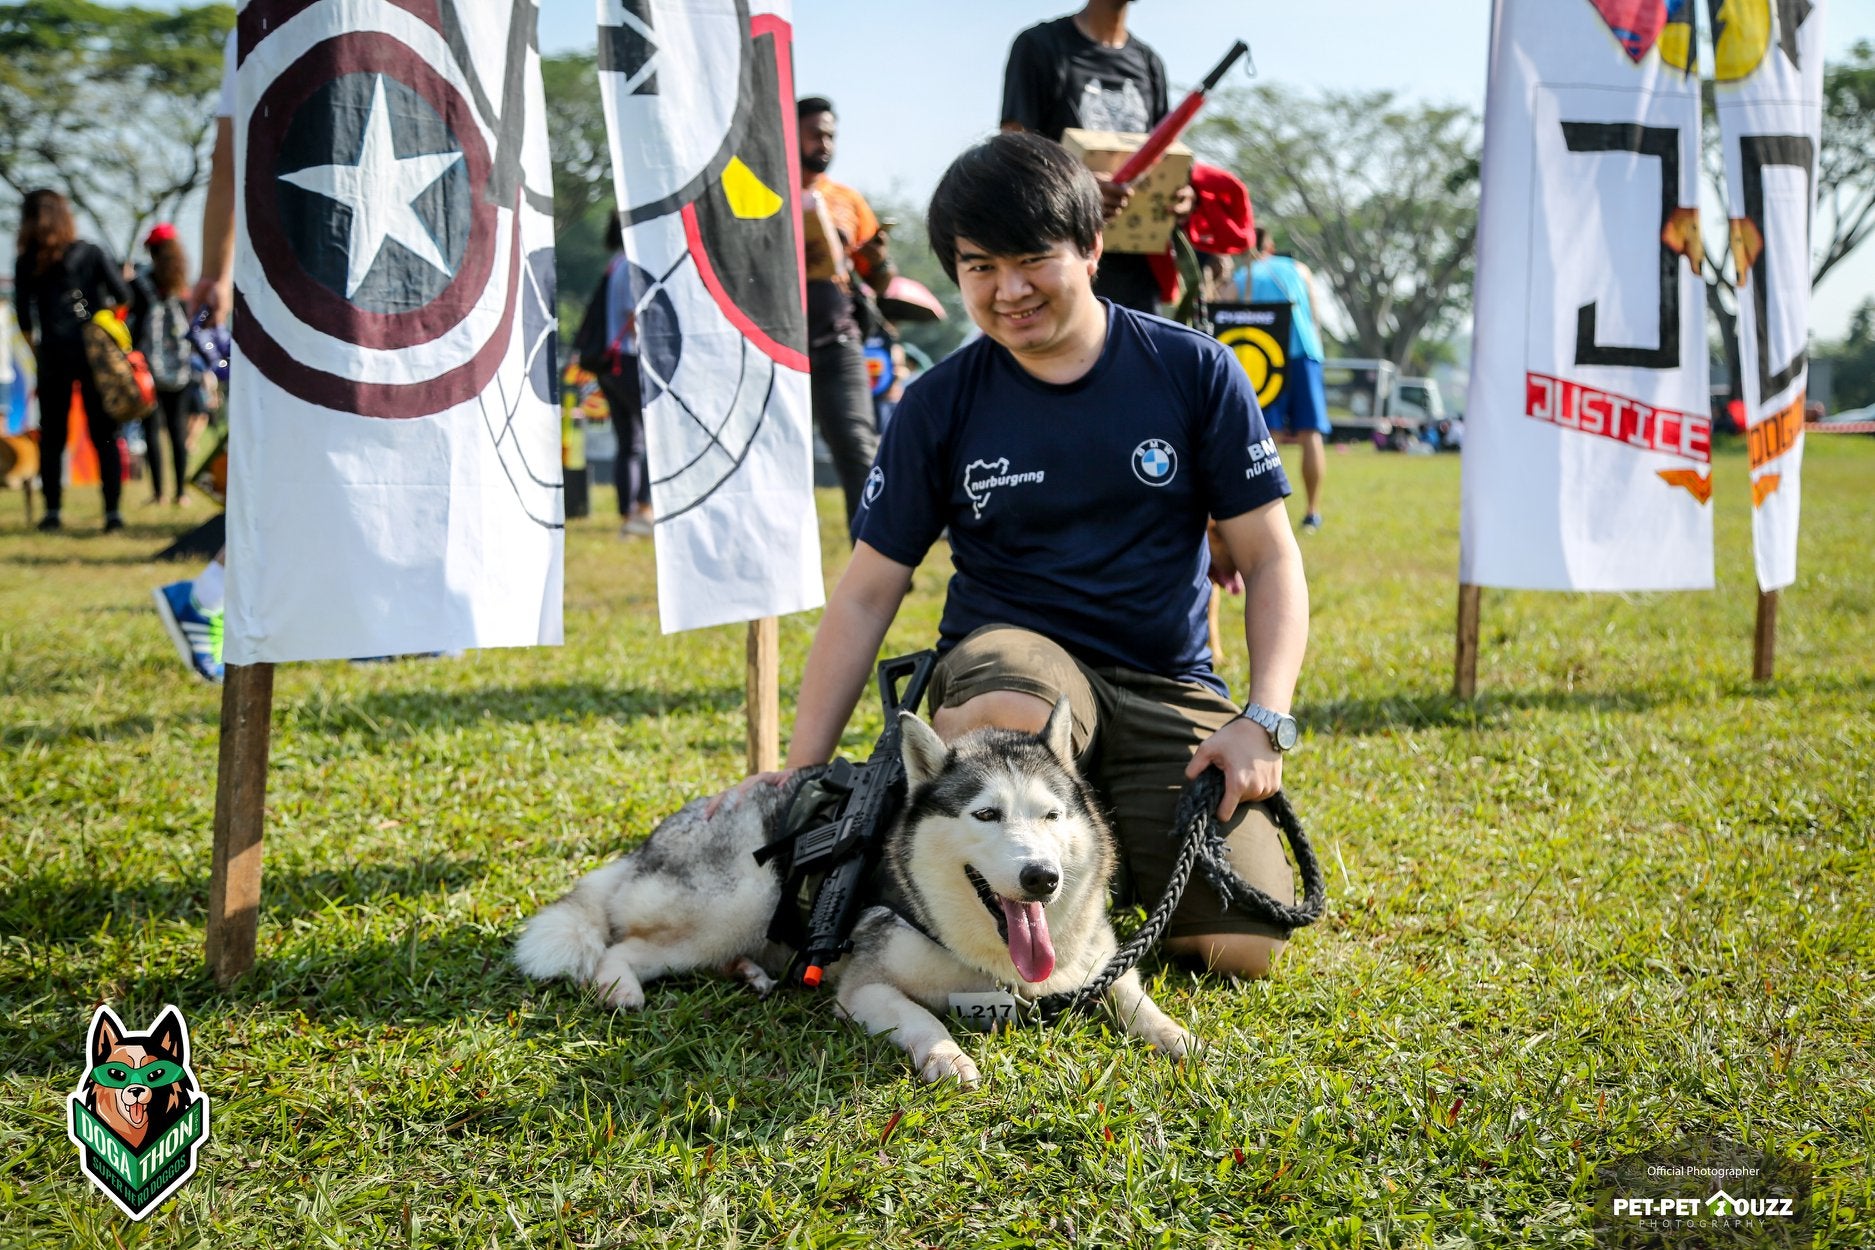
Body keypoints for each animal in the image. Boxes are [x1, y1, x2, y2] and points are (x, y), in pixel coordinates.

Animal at [517, 704, 1185, 1086]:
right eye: (986, 814)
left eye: (1050, 815)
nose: (1041, 878)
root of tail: (650, 842)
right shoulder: (863, 989)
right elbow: (919, 1015)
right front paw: (947, 1056)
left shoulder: (1099, 959)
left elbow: (1132, 995)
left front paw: (1179, 1035)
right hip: (740, 902)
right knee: (623, 946)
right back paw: (621, 988)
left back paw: (752, 974)